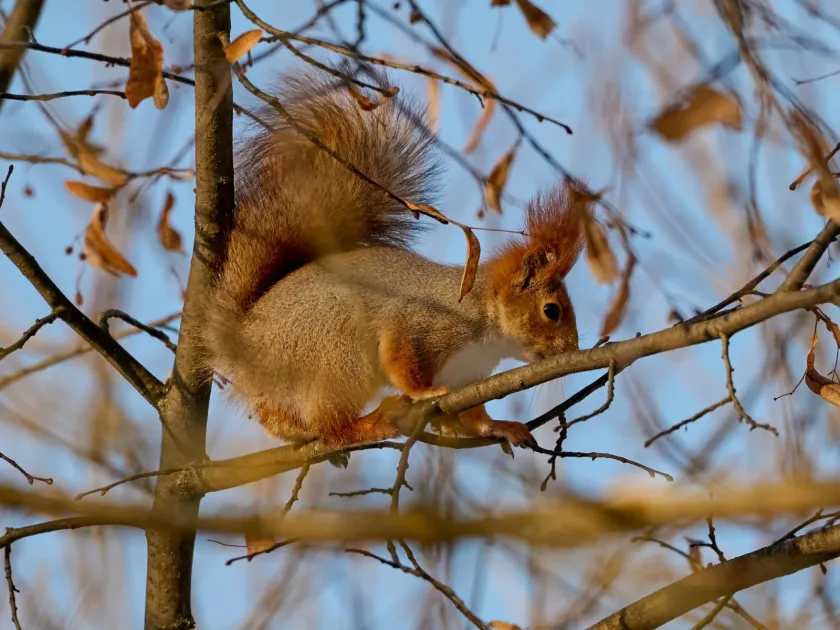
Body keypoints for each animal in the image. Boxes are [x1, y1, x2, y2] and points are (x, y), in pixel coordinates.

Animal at [197, 69, 586, 450]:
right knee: (329, 426)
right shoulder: (416, 322)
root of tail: (240, 341)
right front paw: (424, 392)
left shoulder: (468, 374)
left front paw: (500, 427)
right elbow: (400, 358)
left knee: (275, 416)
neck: (483, 314)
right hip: (339, 355)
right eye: (551, 311)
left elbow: (474, 416)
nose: (573, 349)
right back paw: (368, 425)